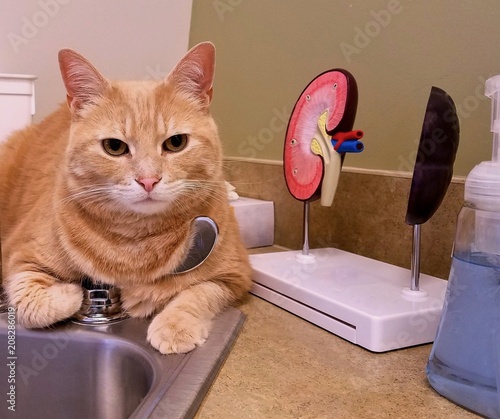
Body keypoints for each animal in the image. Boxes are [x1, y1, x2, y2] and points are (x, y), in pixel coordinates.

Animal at [0, 41, 250, 354]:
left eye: (176, 143)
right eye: (114, 147)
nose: (148, 180)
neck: (136, 242)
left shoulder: (235, 275)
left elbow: (199, 292)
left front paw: (174, 325)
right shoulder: (18, 255)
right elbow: (33, 303)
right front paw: (72, 291)